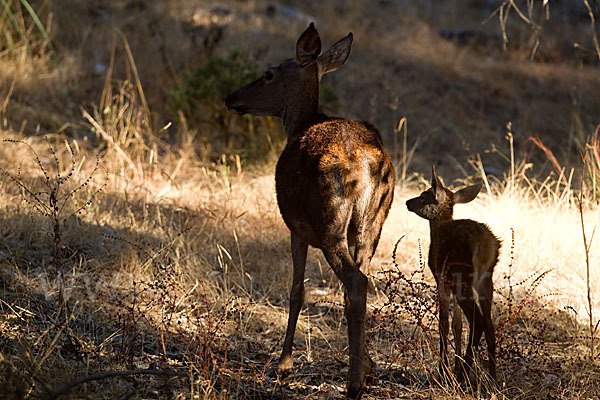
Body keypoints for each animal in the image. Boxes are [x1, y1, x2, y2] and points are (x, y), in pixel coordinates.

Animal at [227, 23, 396, 398]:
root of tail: (366, 164)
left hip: (328, 221)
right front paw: (369, 365)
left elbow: (296, 291)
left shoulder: (295, 228)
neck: (299, 123)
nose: (231, 97)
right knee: (361, 283)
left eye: (269, 73)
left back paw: (352, 384)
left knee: (355, 281)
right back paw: (364, 371)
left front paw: (284, 365)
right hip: (373, 223)